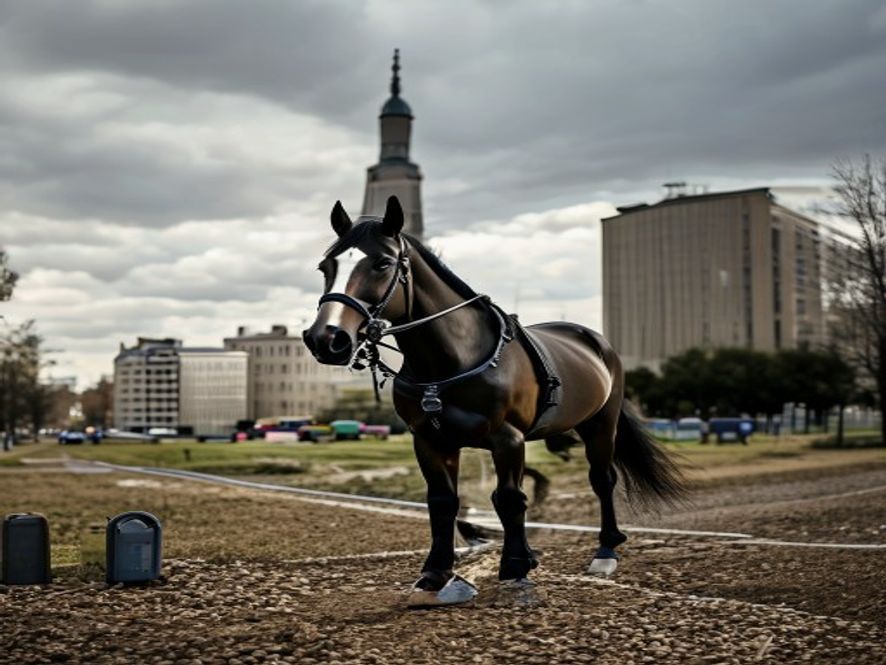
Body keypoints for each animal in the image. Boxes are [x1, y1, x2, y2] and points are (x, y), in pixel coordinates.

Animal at [303, 195, 684, 606]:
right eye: (326, 266)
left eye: (383, 263)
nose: (326, 338)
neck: (453, 357)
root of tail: (595, 341)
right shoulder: (430, 440)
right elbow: (443, 502)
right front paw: (435, 573)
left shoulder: (507, 438)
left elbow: (509, 498)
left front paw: (515, 567)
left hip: (601, 423)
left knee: (602, 479)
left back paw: (606, 551)